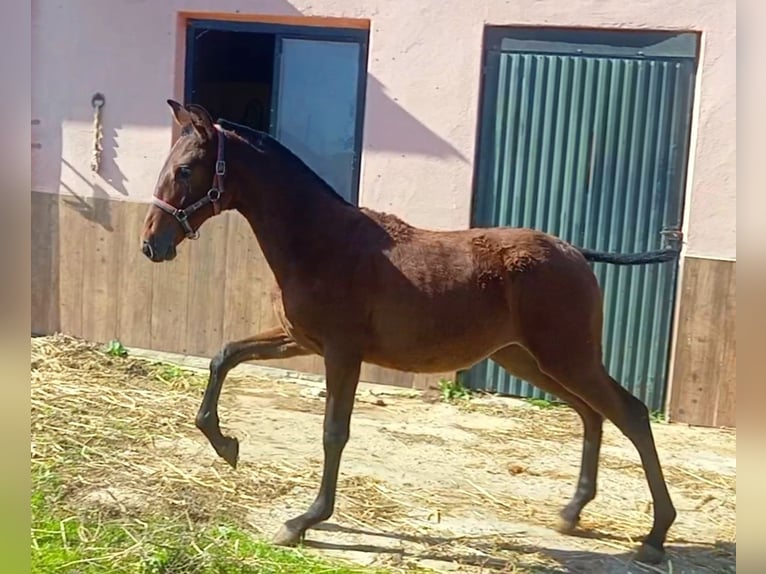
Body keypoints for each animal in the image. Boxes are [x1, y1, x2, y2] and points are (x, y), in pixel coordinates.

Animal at [142, 100, 680, 568]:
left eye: (186, 169)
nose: (152, 244)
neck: (321, 241)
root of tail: (575, 253)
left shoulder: (342, 353)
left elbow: (333, 432)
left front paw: (304, 521)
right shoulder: (298, 340)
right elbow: (225, 355)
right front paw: (225, 444)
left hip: (567, 358)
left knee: (630, 414)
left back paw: (654, 537)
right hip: (528, 360)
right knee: (592, 415)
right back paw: (572, 513)